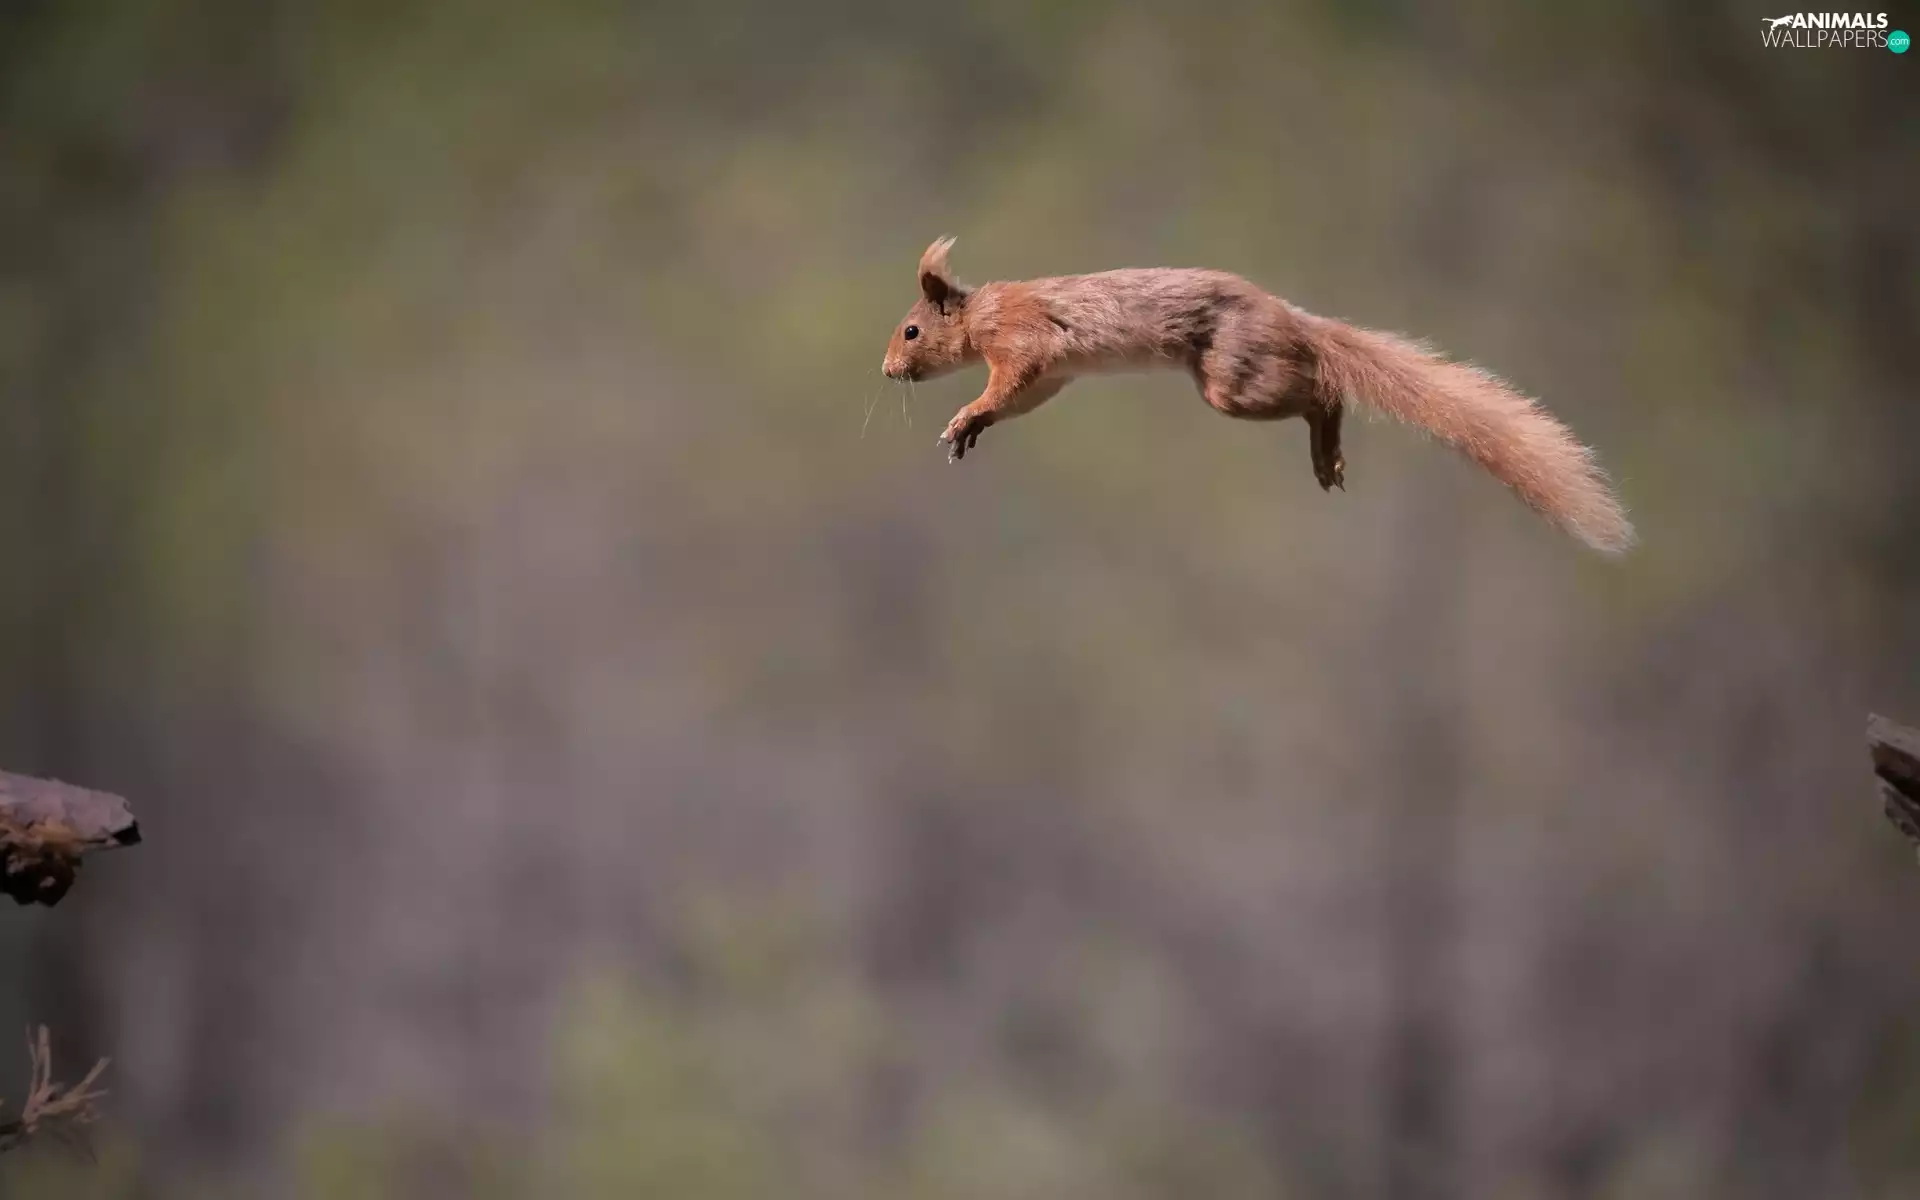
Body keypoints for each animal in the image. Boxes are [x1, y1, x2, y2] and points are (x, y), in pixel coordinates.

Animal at [880, 237, 1635, 555]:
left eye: (911, 330)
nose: (887, 370)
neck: (981, 314)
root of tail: (1293, 319)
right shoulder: (1052, 376)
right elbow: (1023, 399)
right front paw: (973, 429)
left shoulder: (1024, 341)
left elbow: (1008, 381)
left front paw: (965, 415)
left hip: (1233, 380)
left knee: (1323, 388)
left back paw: (1327, 448)